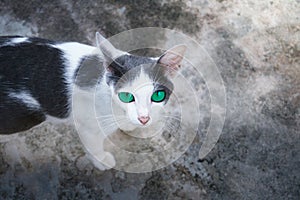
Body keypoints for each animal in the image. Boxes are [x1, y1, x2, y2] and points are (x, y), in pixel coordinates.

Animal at [0, 32, 186, 170]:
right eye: (126, 96)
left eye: (157, 96)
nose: (144, 119)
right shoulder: (88, 126)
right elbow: (94, 146)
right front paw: (102, 160)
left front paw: (129, 124)